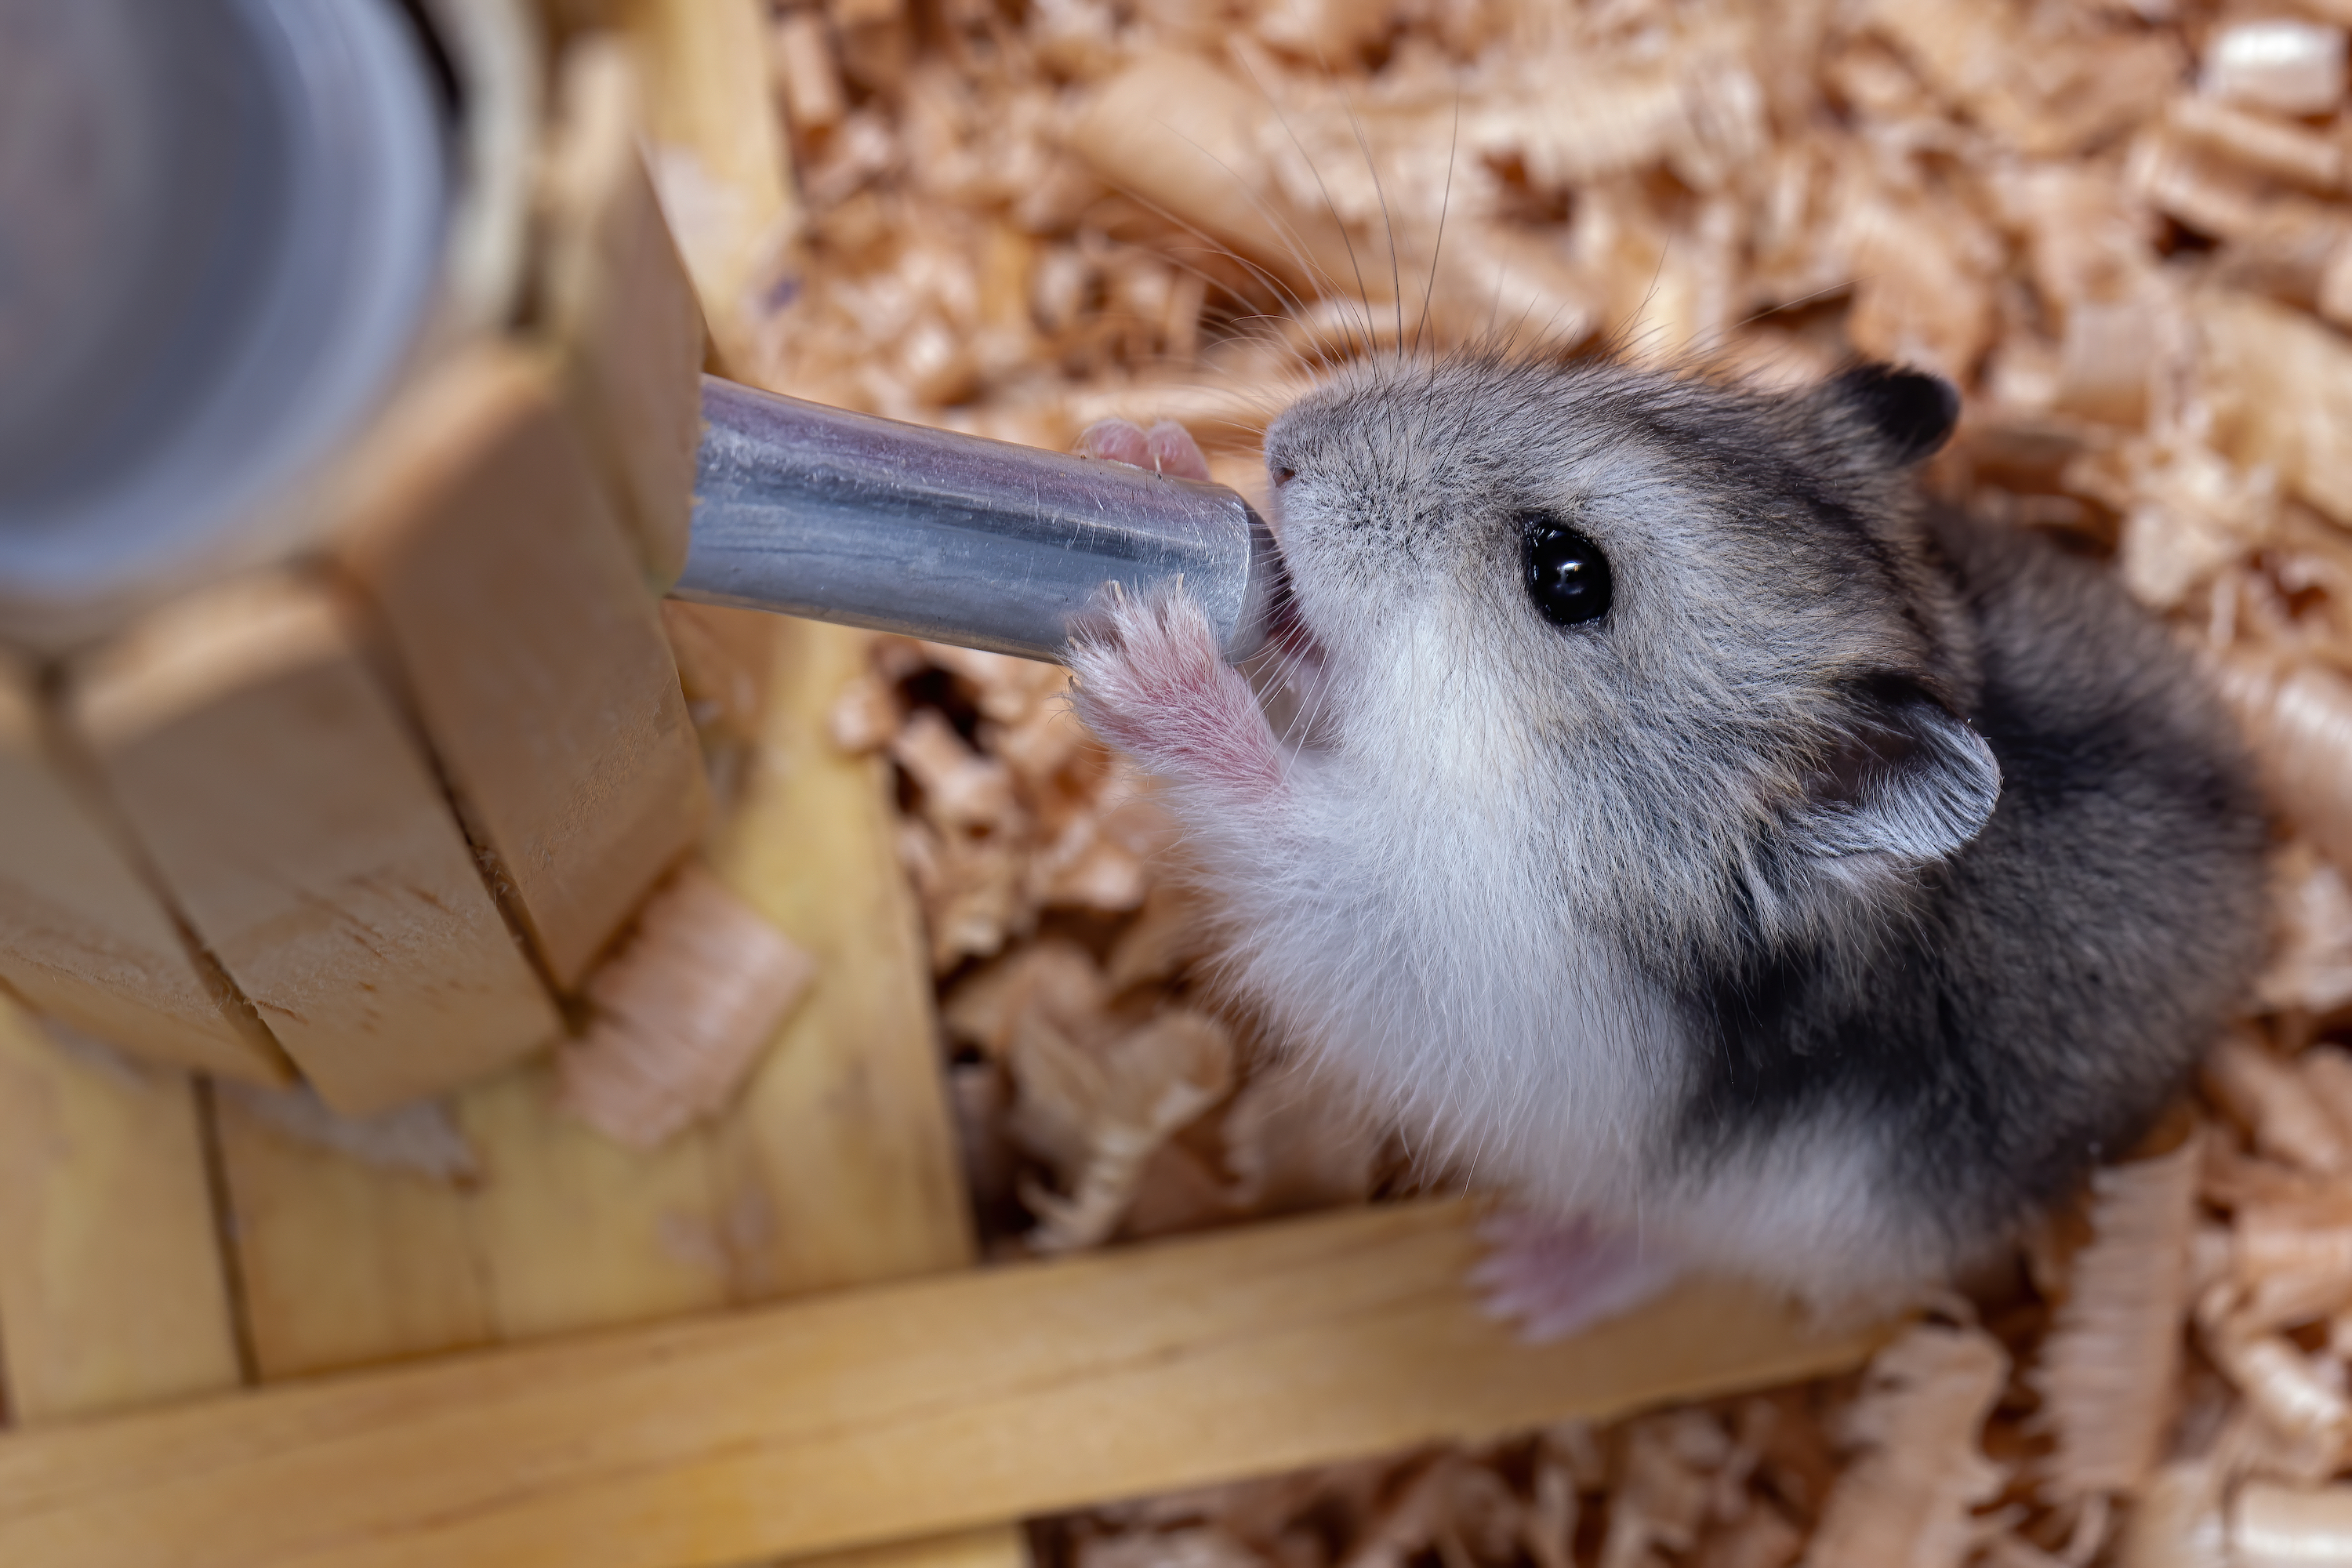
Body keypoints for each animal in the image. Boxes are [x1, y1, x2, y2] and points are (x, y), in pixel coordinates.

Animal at [1066, 352, 2270, 1332]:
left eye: (1566, 576)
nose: (1285, 448)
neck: (1546, 784)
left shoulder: (1424, 934)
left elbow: (1289, 829)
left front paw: (1148, 659)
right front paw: (1140, 451)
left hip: (1796, 1214)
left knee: (1677, 1250)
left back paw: (1521, 1279)